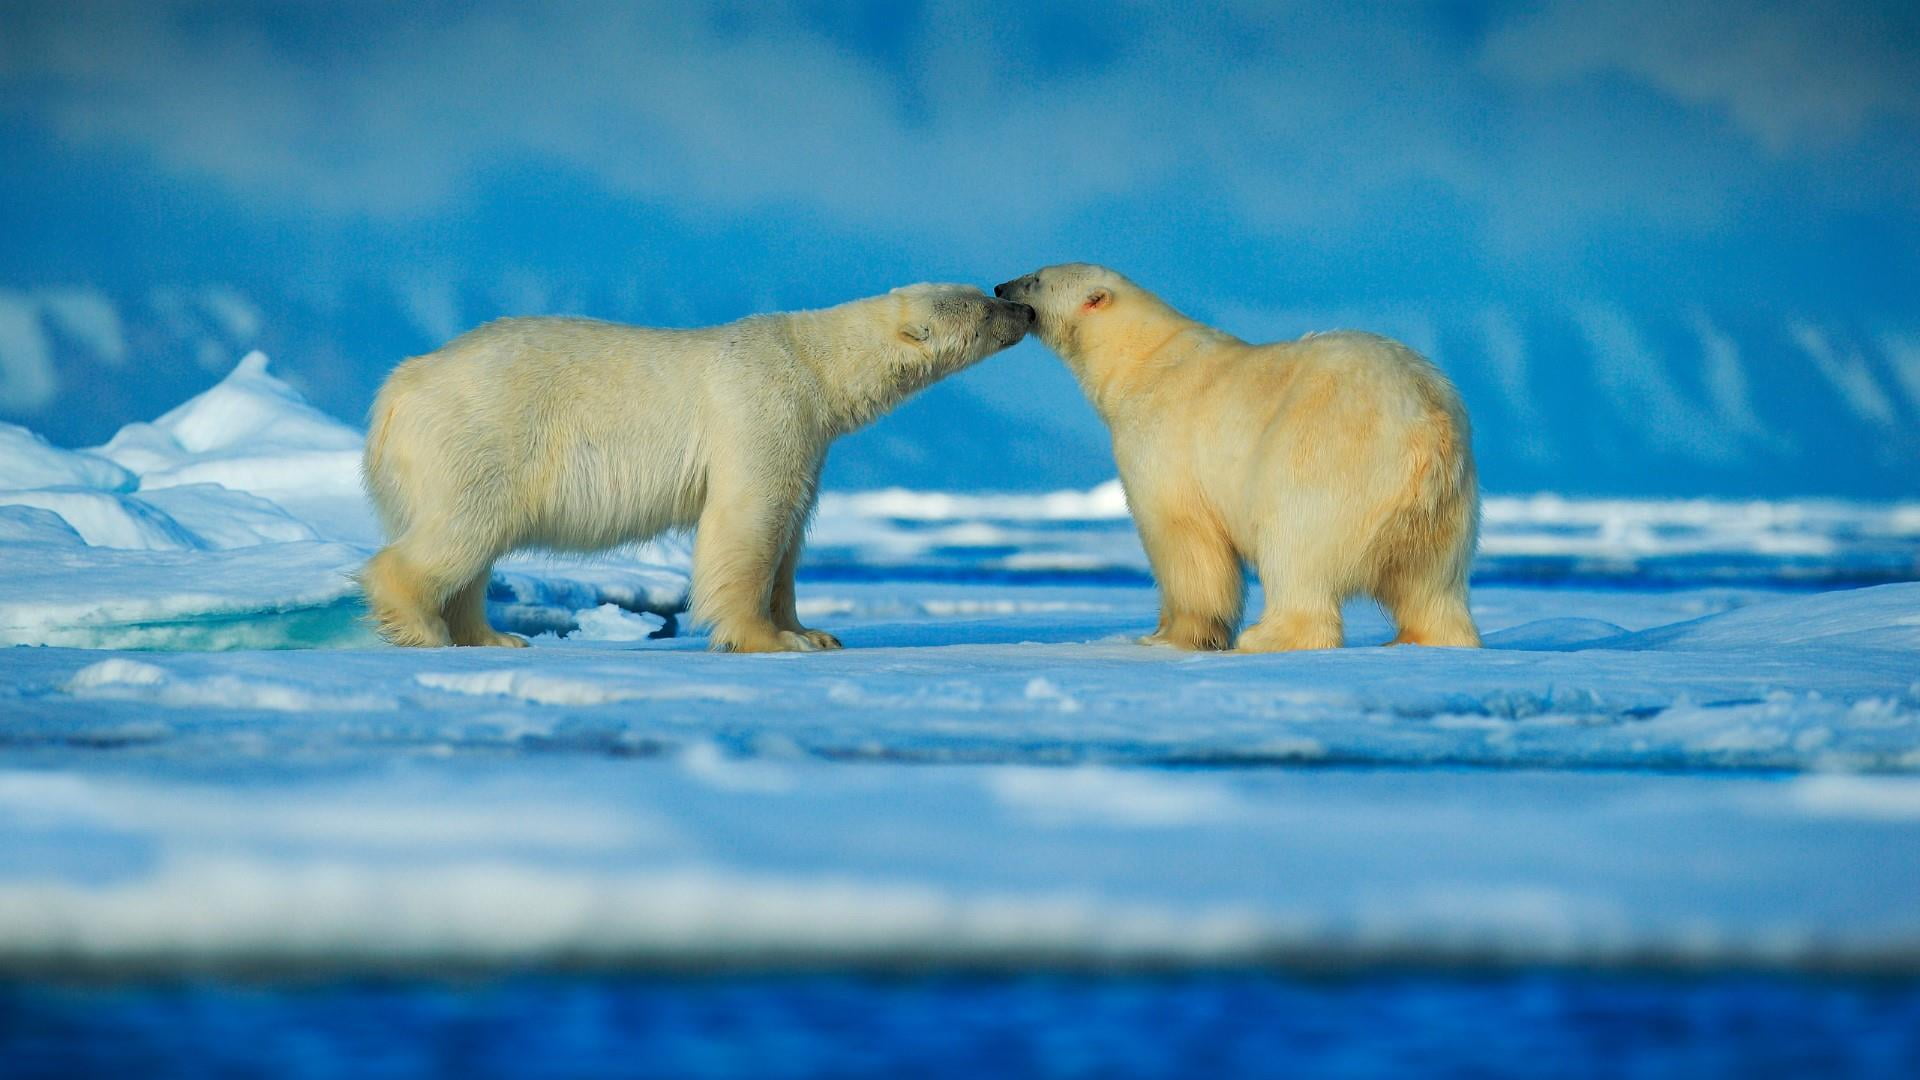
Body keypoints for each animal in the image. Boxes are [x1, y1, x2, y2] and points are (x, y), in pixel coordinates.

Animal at [360, 284, 1036, 652]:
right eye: (981, 305)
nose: (1023, 309)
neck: (814, 365)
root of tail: (399, 386)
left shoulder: (810, 438)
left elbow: (791, 533)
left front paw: (814, 631)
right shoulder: (762, 407)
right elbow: (751, 519)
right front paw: (769, 638)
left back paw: (493, 635)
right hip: (483, 432)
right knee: (460, 532)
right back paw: (423, 628)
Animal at [996, 264, 1480, 652]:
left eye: (1035, 279)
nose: (1000, 286)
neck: (1140, 360)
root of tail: (1426, 422)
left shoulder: (1164, 441)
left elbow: (1182, 539)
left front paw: (1170, 636)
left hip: (1326, 459)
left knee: (1295, 548)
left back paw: (1267, 636)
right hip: (1446, 506)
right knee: (1432, 584)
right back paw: (1427, 639)